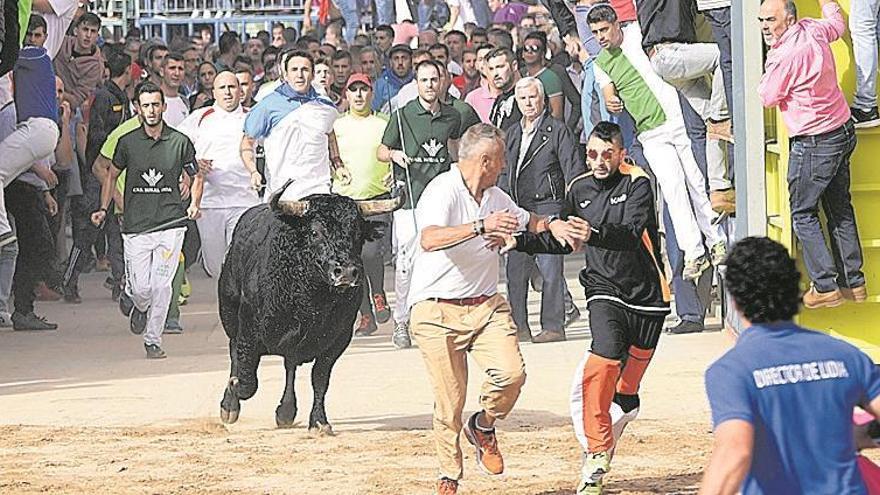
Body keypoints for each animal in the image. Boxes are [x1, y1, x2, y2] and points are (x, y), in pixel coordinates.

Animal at [218, 183, 404, 434]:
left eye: (357, 233)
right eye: (315, 232)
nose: (346, 272)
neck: (311, 299)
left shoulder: (336, 340)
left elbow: (319, 379)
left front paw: (319, 421)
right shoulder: (248, 332)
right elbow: (247, 379)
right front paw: (233, 392)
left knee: (290, 366)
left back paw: (286, 411)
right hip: (230, 317)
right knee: (235, 355)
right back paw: (231, 406)